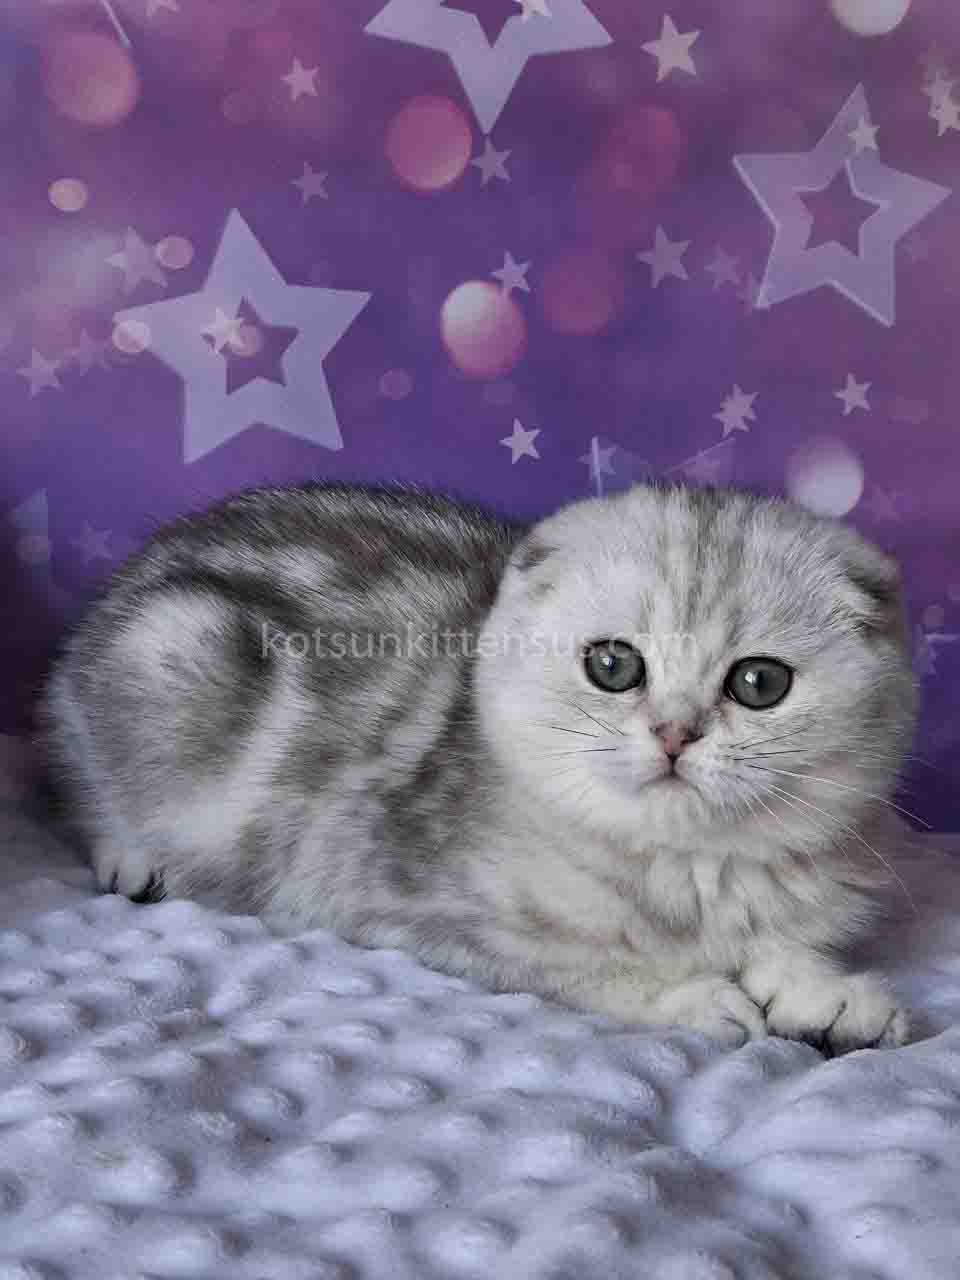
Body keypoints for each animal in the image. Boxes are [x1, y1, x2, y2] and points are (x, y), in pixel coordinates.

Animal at [39, 481, 917, 1054]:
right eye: (613, 665)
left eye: (759, 683)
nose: (675, 734)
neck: (690, 870)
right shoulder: (393, 895)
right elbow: (581, 964)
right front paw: (695, 994)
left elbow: (784, 940)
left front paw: (824, 990)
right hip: (169, 654)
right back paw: (131, 853)